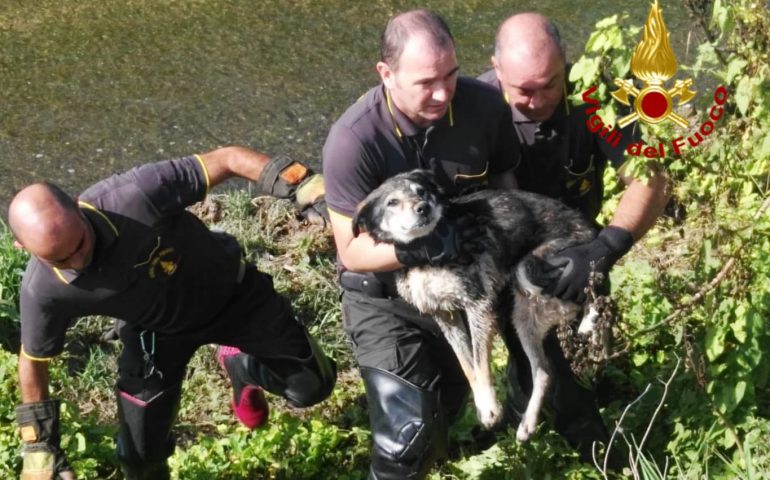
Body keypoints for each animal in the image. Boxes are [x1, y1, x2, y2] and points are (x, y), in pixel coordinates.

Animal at [8, 147, 332, 480]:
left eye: (81, 243)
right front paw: (43, 454)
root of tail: (201, 332)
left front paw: (307, 191)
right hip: (160, 344)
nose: (78, 259)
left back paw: (237, 363)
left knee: (307, 376)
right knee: (145, 430)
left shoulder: (145, 188)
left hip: (246, 307)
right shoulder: (39, 299)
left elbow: (220, 160)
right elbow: (34, 359)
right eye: (63, 258)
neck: (98, 254)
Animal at [352, 171, 596, 440]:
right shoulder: (445, 315)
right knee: (544, 371)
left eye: (421, 191)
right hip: (522, 317)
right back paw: (527, 424)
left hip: (531, 270)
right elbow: (467, 365)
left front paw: (489, 406)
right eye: (392, 202)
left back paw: (590, 319)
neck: (425, 255)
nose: (423, 207)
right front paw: (481, 404)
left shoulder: (477, 303)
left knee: (592, 281)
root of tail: (588, 226)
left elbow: (480, 362)